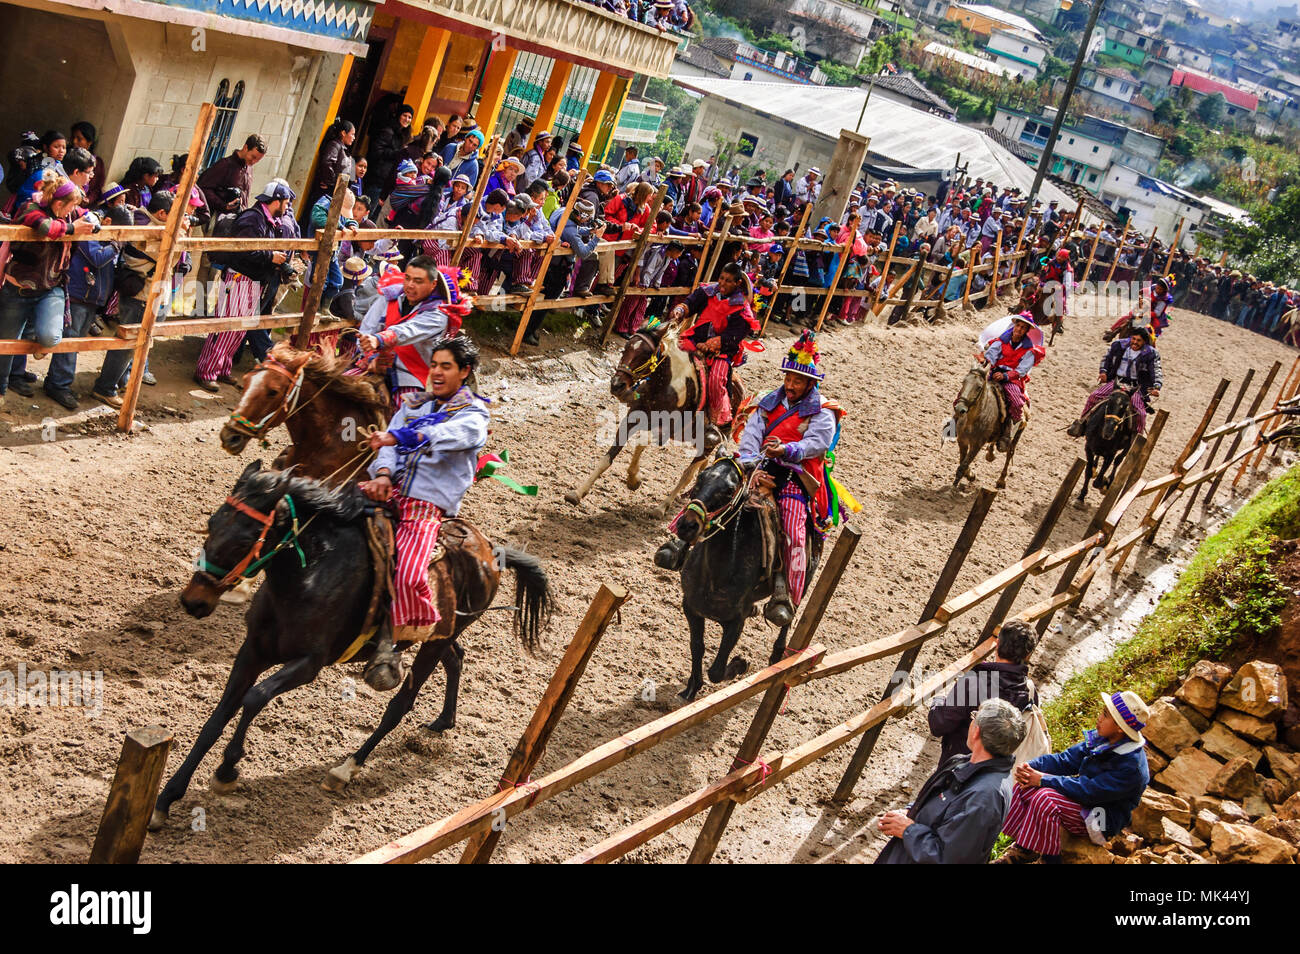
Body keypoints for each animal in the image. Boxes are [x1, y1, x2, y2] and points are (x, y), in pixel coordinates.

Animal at [149, 462, 551, 831]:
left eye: (245, 541)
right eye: (212, 523)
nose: (193, 601)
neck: (307, 575)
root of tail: (489, 550)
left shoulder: (309, 663)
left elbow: (255, 698)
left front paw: (228, 769)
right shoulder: (252, 652)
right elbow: (216, 719)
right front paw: (165, 800)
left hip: (436, 642)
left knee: (401, 703)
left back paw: (346, 768)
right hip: (439, 636)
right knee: (456, 659)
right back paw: (442, 722)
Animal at [566, 321, 743, 514]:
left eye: (645, 354)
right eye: (625, 348)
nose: (617, 385)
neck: (664, 386)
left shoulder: (666, 428)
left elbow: (641, 442)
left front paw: (634, 480)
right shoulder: (631, 419)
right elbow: (608, 458)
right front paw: (577, 493)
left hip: (708, 443)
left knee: (687, 475)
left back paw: (662, 507)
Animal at [665, 454, 816, 701]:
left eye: (729, 489)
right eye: (701, 477)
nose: (687, 525)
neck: (717, 571)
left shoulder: (736, 621)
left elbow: (716, 671)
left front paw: (740, 664)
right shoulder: (691, 608)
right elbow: (697, 647)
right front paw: (692, 687)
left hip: (804, 580)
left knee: (788, 616)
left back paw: (777, 651)